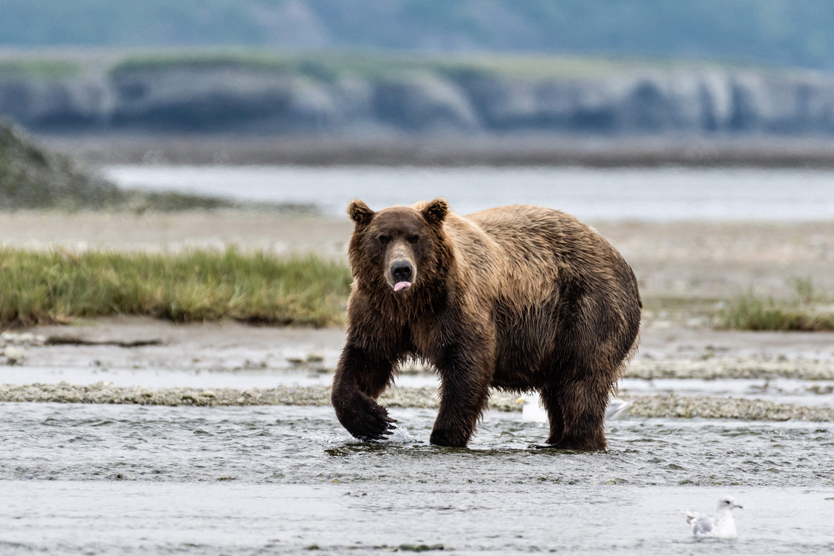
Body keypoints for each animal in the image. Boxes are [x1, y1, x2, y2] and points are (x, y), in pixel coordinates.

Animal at [328, 198, 640, 450]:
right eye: (382, 238)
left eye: (415, 237)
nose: (401, 269)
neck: (414, 302)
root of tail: (619, 258)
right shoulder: (378, 313)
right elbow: (365, 358)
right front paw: (373, 421)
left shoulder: (456, 308)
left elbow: (467, 365)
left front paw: (443, 436)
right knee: (558, 390)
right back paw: (554, 441)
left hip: (588, 308)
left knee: (580, 381)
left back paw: (577, 441)